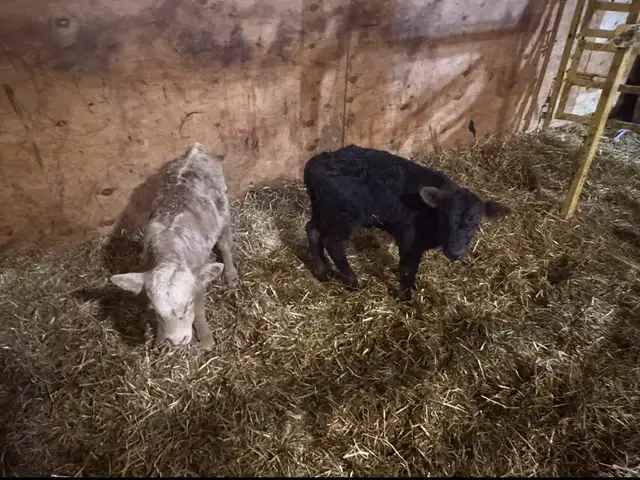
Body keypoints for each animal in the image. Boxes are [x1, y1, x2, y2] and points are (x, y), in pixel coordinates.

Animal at [109, 142, 238, 348]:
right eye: (157, 312)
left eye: (188, 304)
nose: (177, 341)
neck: (169, 249)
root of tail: (195, 150)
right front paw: (158, 341)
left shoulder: (199, 283)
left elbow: (200, 312)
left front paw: (206, 338)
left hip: (223, 211)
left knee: (225, 244)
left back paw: (231, 274)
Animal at [303, 144, 510, 301]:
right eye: (445, 216)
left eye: (476, 223)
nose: (456, 252)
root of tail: (316, 163)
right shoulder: (409, 239)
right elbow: (408, 270)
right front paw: (405, 298)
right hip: (344, 217)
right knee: (333, 244)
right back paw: (353, 282)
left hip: (321, 210)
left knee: (312, 230)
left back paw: (322, 274)